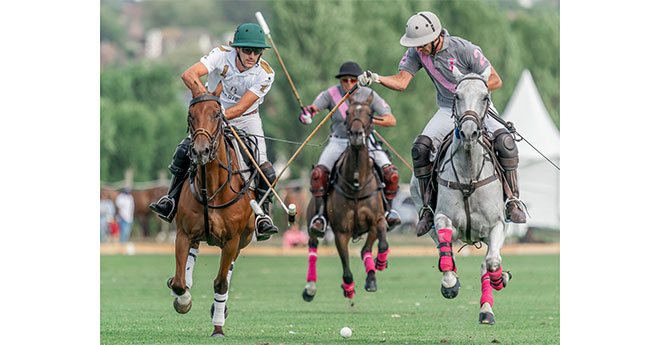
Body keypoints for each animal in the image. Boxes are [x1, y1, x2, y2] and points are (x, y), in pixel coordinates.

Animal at [166, 88, 256, 336]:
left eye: (217, 114)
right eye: (191, 115)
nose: (199, 151)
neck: (212, 189)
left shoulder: (232, 240)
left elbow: (221, 283)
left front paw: (218, 327)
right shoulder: (183, 233)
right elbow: (179, 282)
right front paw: (183, 300)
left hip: (243, 239)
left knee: (228, 269)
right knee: (191, 258)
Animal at [304, 92, 392, 302]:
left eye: (370, 113)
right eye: (348, 112)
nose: (356, 135)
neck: (357, 183)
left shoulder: (377, 220)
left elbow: (383, 244)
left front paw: (380, 263)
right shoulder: (340, 232)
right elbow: (346, 268)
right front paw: (348, 288)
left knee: (365, 249)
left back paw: (371, 276)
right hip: (312, 221)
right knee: (313, 246)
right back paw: (310, 288)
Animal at [412, 68, 516, 326]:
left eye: (485, 97)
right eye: (456, 95)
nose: (469, 132)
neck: (469, 172)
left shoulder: (497, 225)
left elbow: (492, 262)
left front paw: (500, 279)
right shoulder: (442, 218)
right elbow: (446, 252)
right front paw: (450, 284)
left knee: (486, 263)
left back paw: (487, 309)